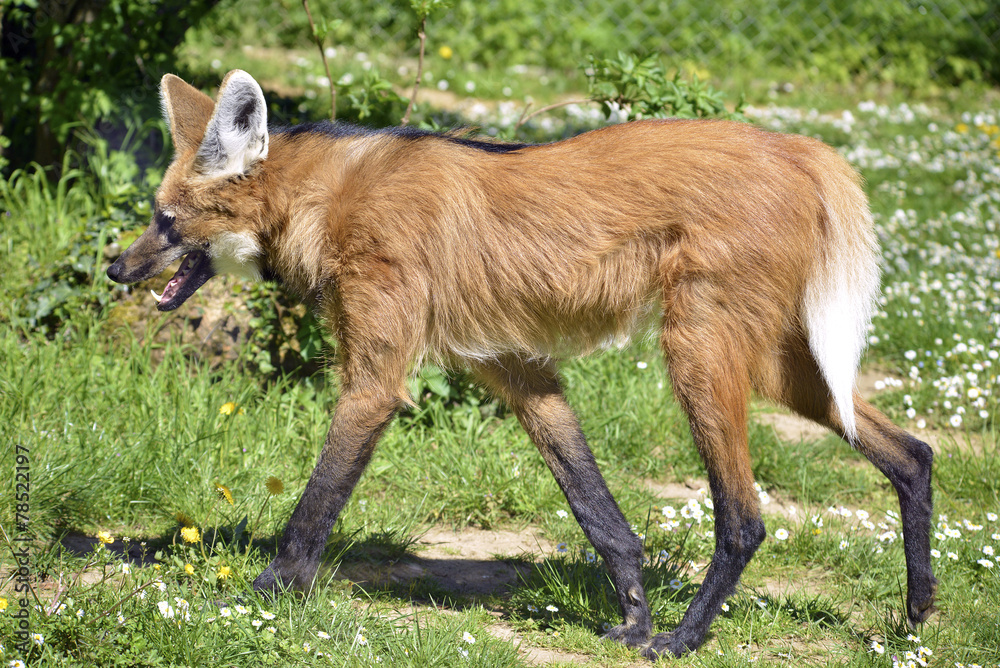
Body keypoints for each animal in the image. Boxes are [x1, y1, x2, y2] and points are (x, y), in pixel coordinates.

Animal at [106, 70, 936, 659]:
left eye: (165, 220)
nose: (116, 267)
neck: (324, 198)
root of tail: (802, 149)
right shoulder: (520, 370)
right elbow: (598, 511)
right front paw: (632, 617)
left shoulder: (376, 385)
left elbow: (314, 504)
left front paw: (263, 594)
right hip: (775, 361)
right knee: (912, 451)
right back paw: (918, 608)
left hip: (698, 351)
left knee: (745, 518)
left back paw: (686, 639)